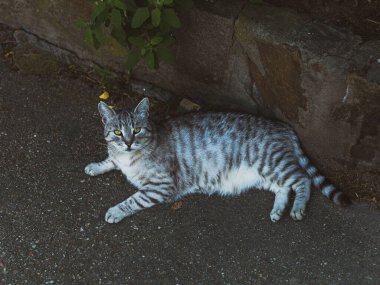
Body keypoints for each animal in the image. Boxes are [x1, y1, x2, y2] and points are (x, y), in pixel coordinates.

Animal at [85, 96, 350, 223]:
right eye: (117, 132)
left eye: (137, 130)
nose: (128, 142)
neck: (130, 157)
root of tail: (284, 126)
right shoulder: (119, 157)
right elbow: (110, 160)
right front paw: (96, 166)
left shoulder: (161, 186)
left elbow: (133, 199)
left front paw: (116, 211)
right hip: (265, 173)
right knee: (284, 188)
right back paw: (277, 210)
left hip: (271, 161)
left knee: (303, 180)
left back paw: (297, 208)